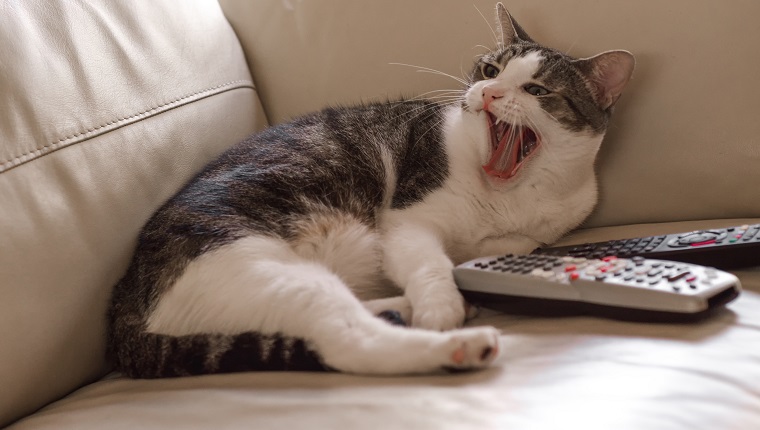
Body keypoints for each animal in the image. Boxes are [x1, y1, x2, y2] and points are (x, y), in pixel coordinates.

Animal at [107, 5, 636, 378]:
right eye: (490, 71)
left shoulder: (531, 236)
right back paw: (457, 344)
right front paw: (441, 307)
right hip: (256, 264)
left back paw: (406, 308)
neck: (508, 194)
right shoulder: (408, 221)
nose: (487, 94)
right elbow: (431, 264)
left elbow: (503, 248)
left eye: (537, 90)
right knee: (348, 343)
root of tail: (122, 312)